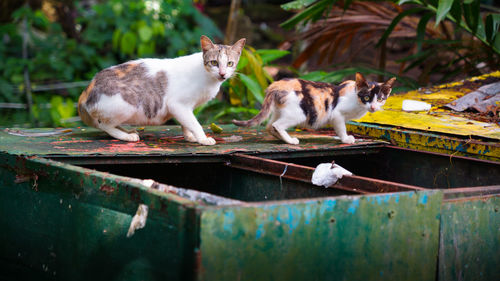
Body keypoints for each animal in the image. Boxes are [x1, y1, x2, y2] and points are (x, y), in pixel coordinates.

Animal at [77, 35, 246, 144]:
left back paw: (128, 131)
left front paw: (190, 137)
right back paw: (126, 136)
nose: (222, 73)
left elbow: (186, 124)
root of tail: (86, 91)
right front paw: (203, 139)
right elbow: (194, 123)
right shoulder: (178, 105)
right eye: (214, 63)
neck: (209, 79)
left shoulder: (186, 108)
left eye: (230, 64)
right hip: (127, 104)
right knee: (104, 125)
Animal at [232, 72, 396, 144]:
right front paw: (346, 139)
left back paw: (281, 138)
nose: (373, 107)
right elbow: (341, 127)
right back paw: (291, 141)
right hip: (299, 113)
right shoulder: (336, 114)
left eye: (380, 99)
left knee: (269, 125)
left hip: (280, 110)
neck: (356, 97)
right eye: (367, 97)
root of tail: (276, 85)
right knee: (277, 125)